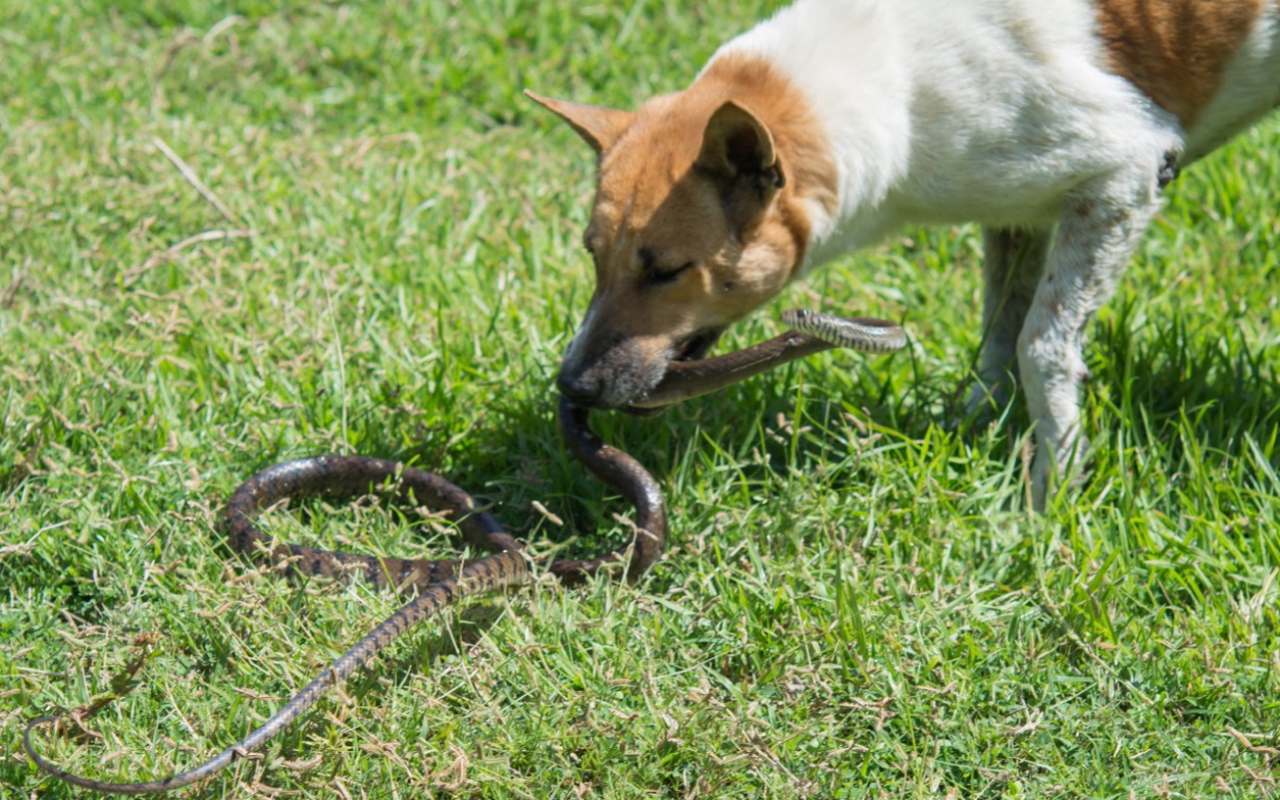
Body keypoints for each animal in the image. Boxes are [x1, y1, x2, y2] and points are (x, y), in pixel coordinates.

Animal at [524, 0, 1274, 509]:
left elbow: (1040, 345)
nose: (573, 387)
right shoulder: (1018, 211)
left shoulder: (1124, 174)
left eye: (667, 271)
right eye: (592, 257)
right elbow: (997, 334)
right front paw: (970, 427)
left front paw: (1050, 492)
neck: (893, 80)